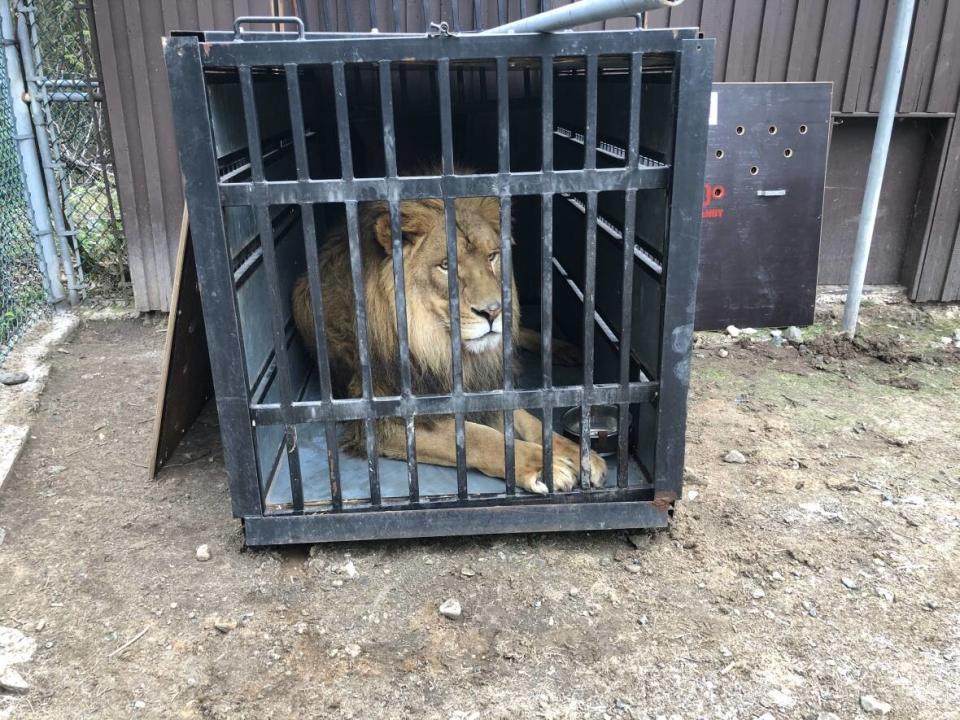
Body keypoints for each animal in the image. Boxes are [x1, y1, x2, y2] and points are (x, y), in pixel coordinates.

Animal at [292, 194, 604, 492]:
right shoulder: (383, 420)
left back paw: (564, 349)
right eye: (445, 266)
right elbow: (482, 437)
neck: (437, 347)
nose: (494, 311)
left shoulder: (482, 381)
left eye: (492, 256)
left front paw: (577, 453)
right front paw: (544, 466)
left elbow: (530, 419)